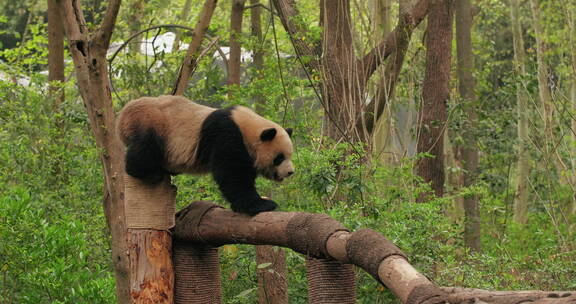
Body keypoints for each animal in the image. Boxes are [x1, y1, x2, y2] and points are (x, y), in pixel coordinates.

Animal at [118, 96, 294, 215]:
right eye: (279, 158)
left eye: (289, 156)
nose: (290, 172)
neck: (246, 125)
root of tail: (122, 116)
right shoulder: (226, 134)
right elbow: (232, 173)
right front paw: (262, 205)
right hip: (152, 123)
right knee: (145, 148)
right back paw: (150, 172)